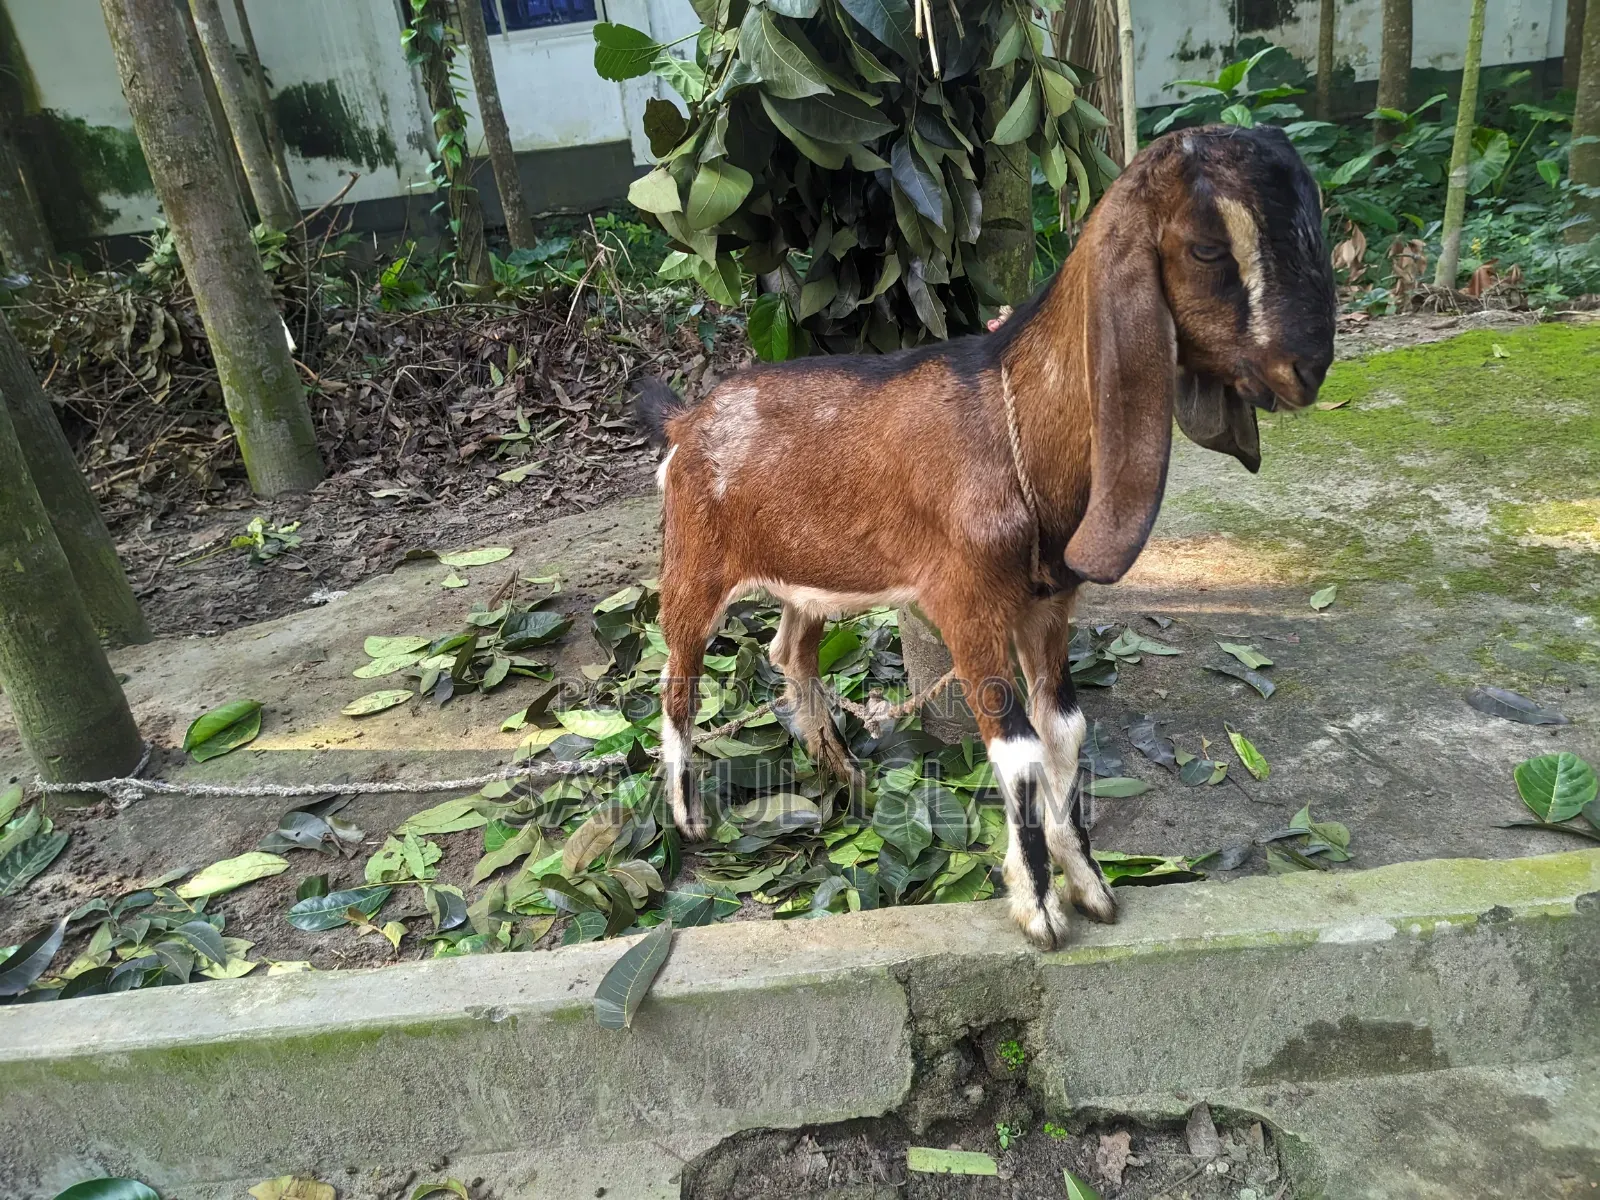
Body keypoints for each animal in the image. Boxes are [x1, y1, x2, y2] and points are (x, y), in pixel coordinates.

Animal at [634, 124, 1336, 948]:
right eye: (1205, 249)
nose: (1308, 368)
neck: (1014, 428)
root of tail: (686, 421)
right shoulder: (967, 605)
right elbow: (1021, 754)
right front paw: (1038, 908)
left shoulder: (1049, 606)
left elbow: (1065, 732)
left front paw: (1090, 884)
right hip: (694, 559)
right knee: (677, 674)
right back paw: (691, 815)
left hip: (812, 576)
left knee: (790, 650)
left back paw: (842, 770)